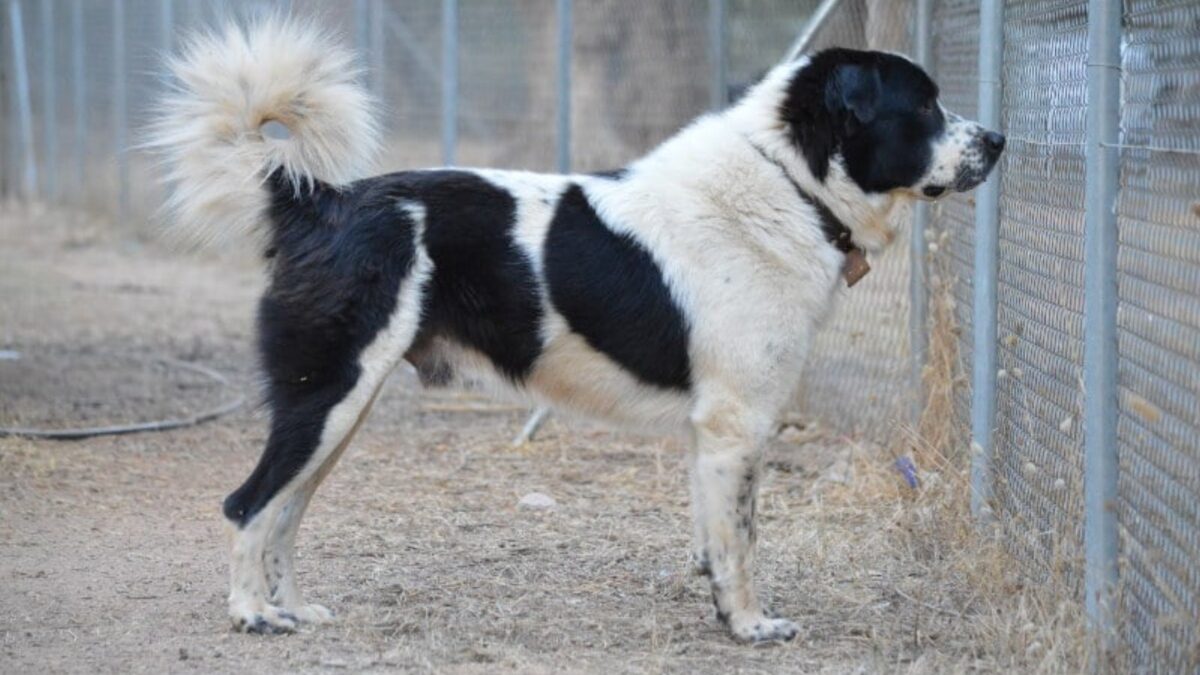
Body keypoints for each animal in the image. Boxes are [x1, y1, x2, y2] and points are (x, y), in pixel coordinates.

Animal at [150, 17, 998, 638]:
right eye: (924, 107)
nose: (998, 140)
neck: (788, 181)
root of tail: (318, 201)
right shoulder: (738, 420)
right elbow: (743, 542)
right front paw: (750, 625)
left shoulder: (710, 430)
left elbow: (713, 535)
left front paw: (722, 606)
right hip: (327, 394)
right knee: (249, 503)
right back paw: (252, 615)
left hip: (338, 407)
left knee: (285, 511)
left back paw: (290, 607)